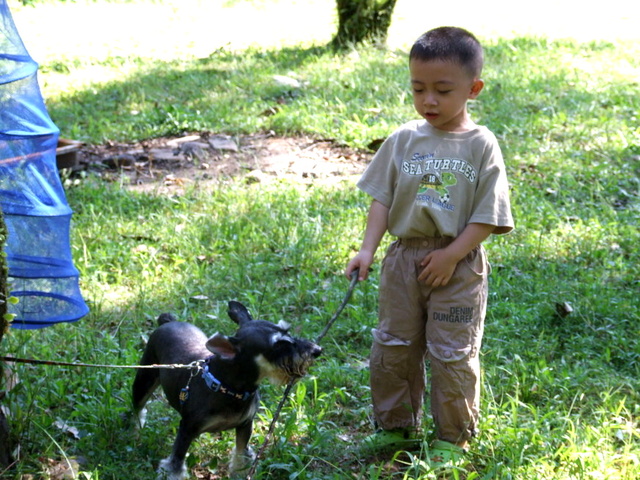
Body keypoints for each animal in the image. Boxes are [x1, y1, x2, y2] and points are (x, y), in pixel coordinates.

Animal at [131, 302, 320, 478]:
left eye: (287, 332)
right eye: (278, 345)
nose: (317, 350)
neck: (229, 388)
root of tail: (169, 322)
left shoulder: (245, 425)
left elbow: (241, 458)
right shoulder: (186, 430)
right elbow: (175, 465)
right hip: (143, 382)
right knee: (138, 408)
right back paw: (137, 430)